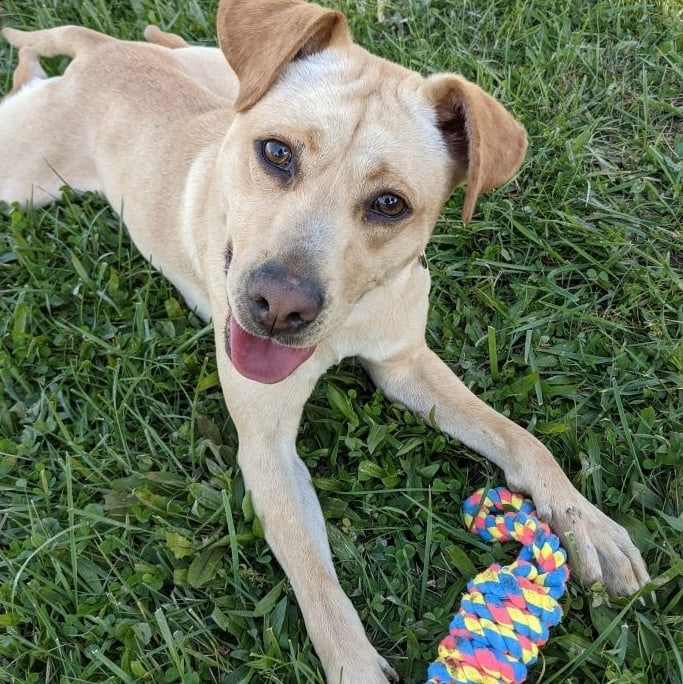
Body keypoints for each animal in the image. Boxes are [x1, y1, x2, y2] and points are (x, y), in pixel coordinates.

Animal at [0, 0, 648, 680]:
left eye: (390, 203)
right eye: (276, 152)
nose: (279, 307)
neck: (343, 327)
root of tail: (103, 54)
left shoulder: (404, 363)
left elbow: (519, 438)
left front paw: (585, 523)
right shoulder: (267, 451)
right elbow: (316, 577)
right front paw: (355, 662)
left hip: (215, 72)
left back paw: (153, 36)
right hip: (22, 179)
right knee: (26, 83)